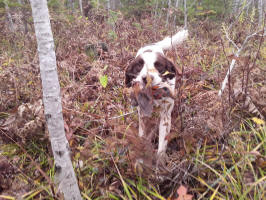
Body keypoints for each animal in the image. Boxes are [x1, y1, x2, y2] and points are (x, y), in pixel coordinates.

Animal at [125, 29, 188, 158]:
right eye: (138, 66)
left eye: (159, 65)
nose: (147, 78)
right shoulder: (143, 114)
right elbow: (142, 134)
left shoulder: (165, 115)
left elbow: (163, 141)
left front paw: (160, 159)